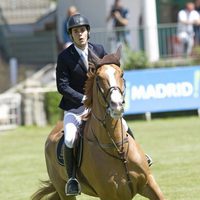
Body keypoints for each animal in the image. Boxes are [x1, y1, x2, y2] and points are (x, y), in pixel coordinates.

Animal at [31, 47, 166, 200]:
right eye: (98, 77)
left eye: (121, 74)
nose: (116, 105)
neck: (116, 148)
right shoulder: (109, 195)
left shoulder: (148, 184)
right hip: (63, 189)